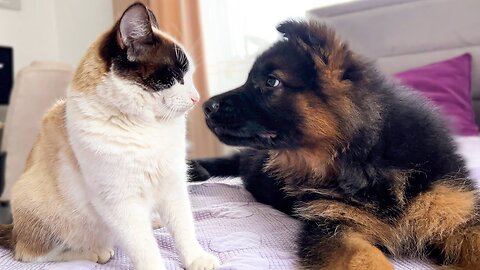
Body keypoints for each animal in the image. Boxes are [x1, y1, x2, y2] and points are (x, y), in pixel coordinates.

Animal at [0, 2, 219, 270]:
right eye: (173, 77)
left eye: (188, 76)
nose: (197, 98)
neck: (147, 127)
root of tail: (13, 230)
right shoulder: (120, 201)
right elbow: (144, 247)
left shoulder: (173, 184)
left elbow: (184, 228)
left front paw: (196, 258)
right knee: (33, 255)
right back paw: (96, 251)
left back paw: (153, 221)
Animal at [190, 21, 480, 270]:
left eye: (271, 81)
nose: (204, 106)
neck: (367, 155)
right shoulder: (335, 227)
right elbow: (368, 258)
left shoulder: (458, 215)